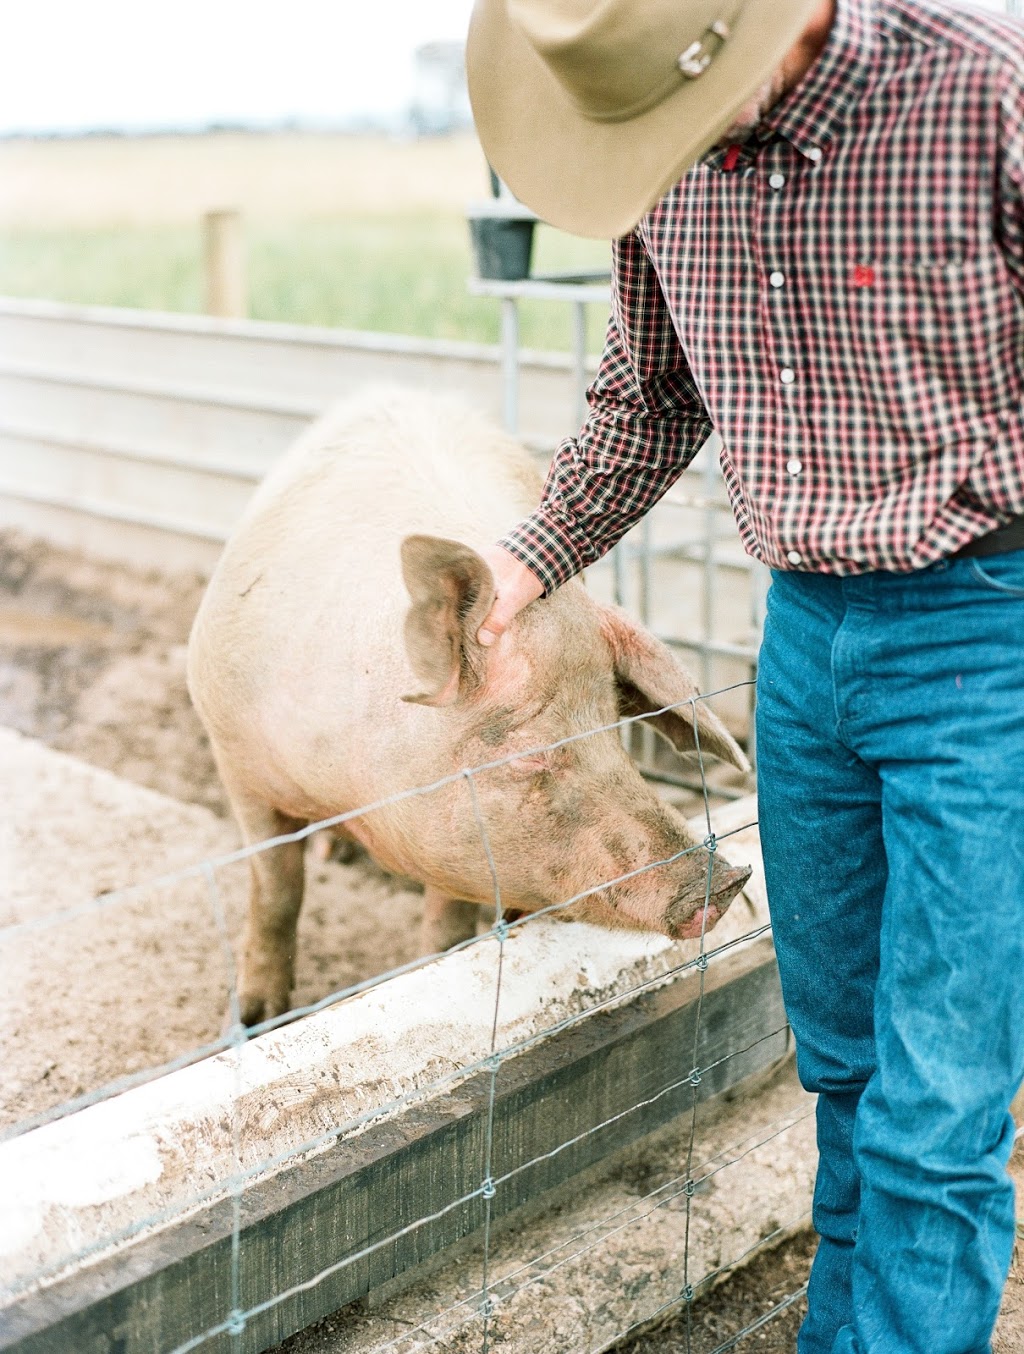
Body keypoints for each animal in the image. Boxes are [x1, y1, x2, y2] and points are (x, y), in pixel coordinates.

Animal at [188, 387, 753, 1018]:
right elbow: (277, 888)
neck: (357, 789)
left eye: (612, 727)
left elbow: (449, 925)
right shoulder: (235, 757)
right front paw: (257, 1016)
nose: (726, 880)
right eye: (527, 754)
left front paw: (436, 967)